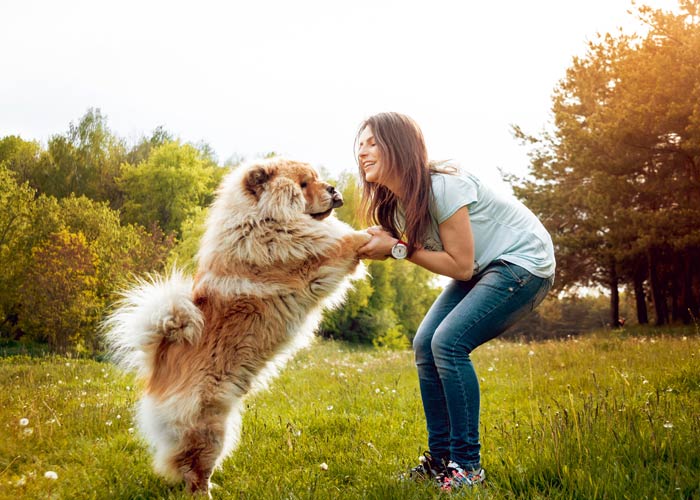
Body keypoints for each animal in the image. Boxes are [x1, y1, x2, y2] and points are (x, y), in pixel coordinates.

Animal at [104, 158, 372, 494]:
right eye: (303, 185)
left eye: (317, 179)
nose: (333, 189)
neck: (260, 221)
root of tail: (158, 369)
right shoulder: (308, 261)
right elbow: (343, 242)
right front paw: (375, 236)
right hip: (209, 428)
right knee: (194, 471)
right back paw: (206, 493)